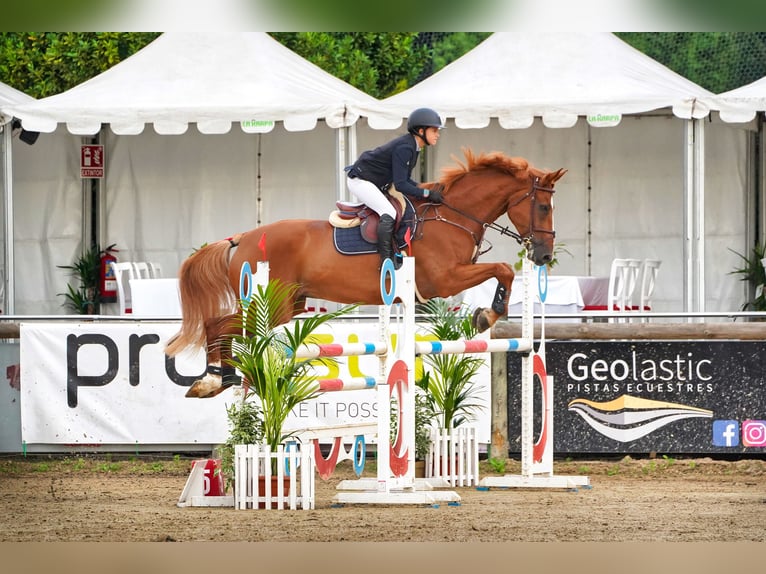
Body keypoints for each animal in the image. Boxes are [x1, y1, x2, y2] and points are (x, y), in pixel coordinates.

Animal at [166, 148, 564, 398]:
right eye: (543, 207)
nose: (544, 255)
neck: (453, 215)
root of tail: (243, 238)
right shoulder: (443, 279)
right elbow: (502, 270)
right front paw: (488, 315)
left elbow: (501, 270)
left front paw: (486, 314)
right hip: (270, 305)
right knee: (218, 325)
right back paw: (212, 380)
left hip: (287, 307)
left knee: (226, 327)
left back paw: (223, 378)